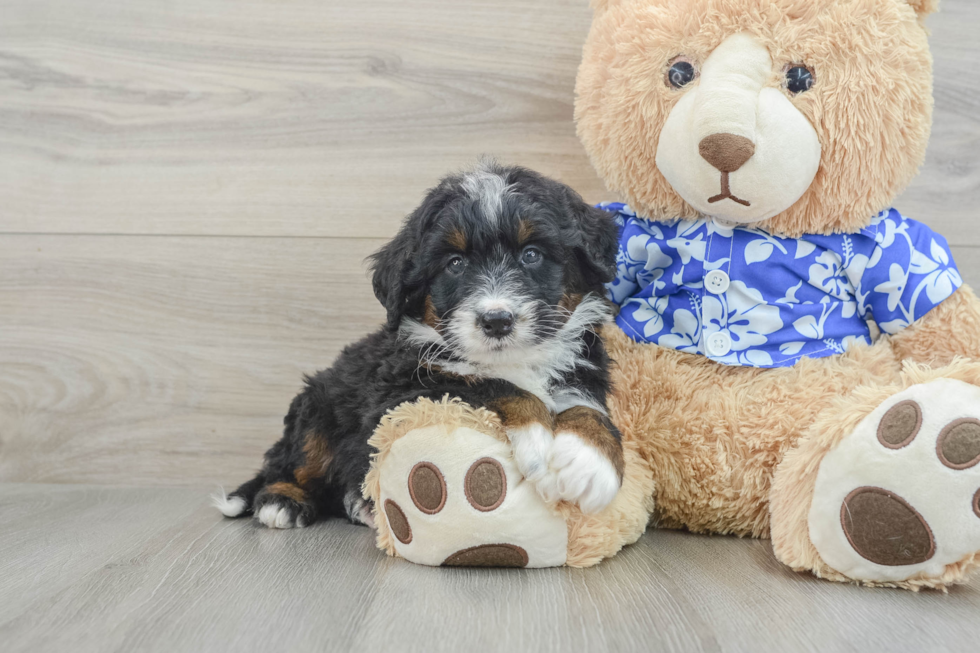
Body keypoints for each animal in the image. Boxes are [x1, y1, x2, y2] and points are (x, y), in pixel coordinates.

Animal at [216, 159, 628, 528]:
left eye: (532, 255)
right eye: (455, 263)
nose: (496, 320)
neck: (513, 359)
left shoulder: (582, 366)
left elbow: (591, 408)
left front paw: (589, 462)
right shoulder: (400, 395)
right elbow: (490, 383)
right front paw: (538, 439)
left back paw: (357, 505)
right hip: (315, 410)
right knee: (290, 462)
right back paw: (283, 501)